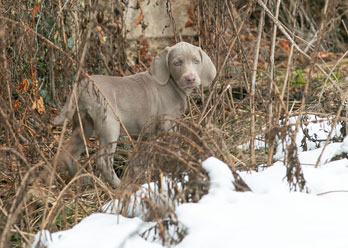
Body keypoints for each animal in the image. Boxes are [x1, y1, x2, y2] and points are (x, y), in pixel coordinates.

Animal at [53, 41, 216, 187]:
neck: (171, 83)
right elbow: (173, 147)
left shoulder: (147, 133)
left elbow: (140, 157)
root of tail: (83, 84)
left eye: (196, 61)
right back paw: (119, 186)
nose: (191, 78)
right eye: (177, 63)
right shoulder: (167, 123)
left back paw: (81, 182)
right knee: (103, 161)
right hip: (109, 124)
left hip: (83, 122)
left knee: (69, 153)